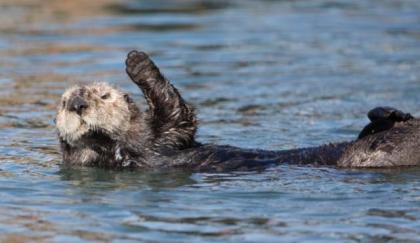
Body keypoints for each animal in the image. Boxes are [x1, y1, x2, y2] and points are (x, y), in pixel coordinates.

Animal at [55, 49, 416, 171]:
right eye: (63, 102)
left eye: (103, 95)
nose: (77, 103)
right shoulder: (158, 142)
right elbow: (177, 113)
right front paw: (139, 62)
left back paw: (387, 112)